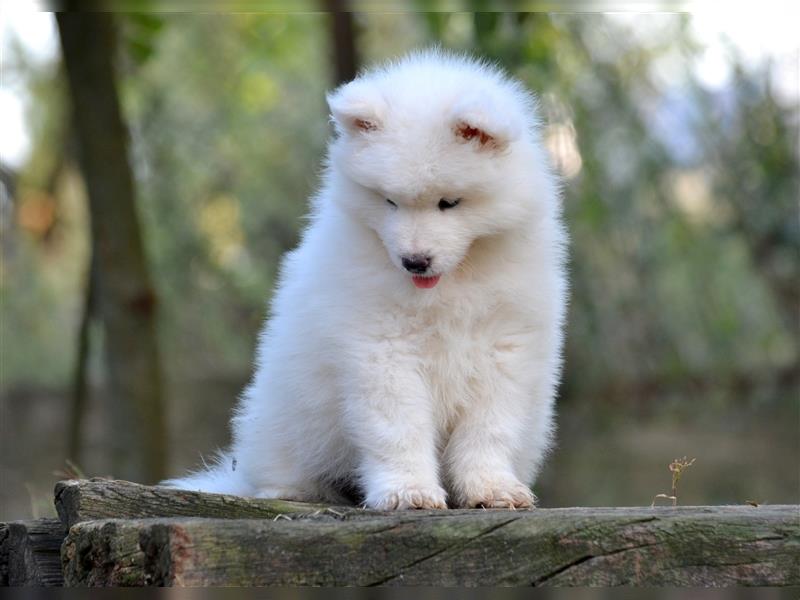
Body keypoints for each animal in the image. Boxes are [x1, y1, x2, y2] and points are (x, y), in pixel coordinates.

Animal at [166, 50, 568, 510]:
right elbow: (398, 425)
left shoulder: (503, 348)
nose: (414, 261)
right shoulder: (382, 348)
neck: (452, 285)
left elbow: (489, 427)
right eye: (389, 201)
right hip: (285, 419)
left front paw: (491, 488)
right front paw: (408, 491)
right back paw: (293, 488)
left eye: (449, 203)